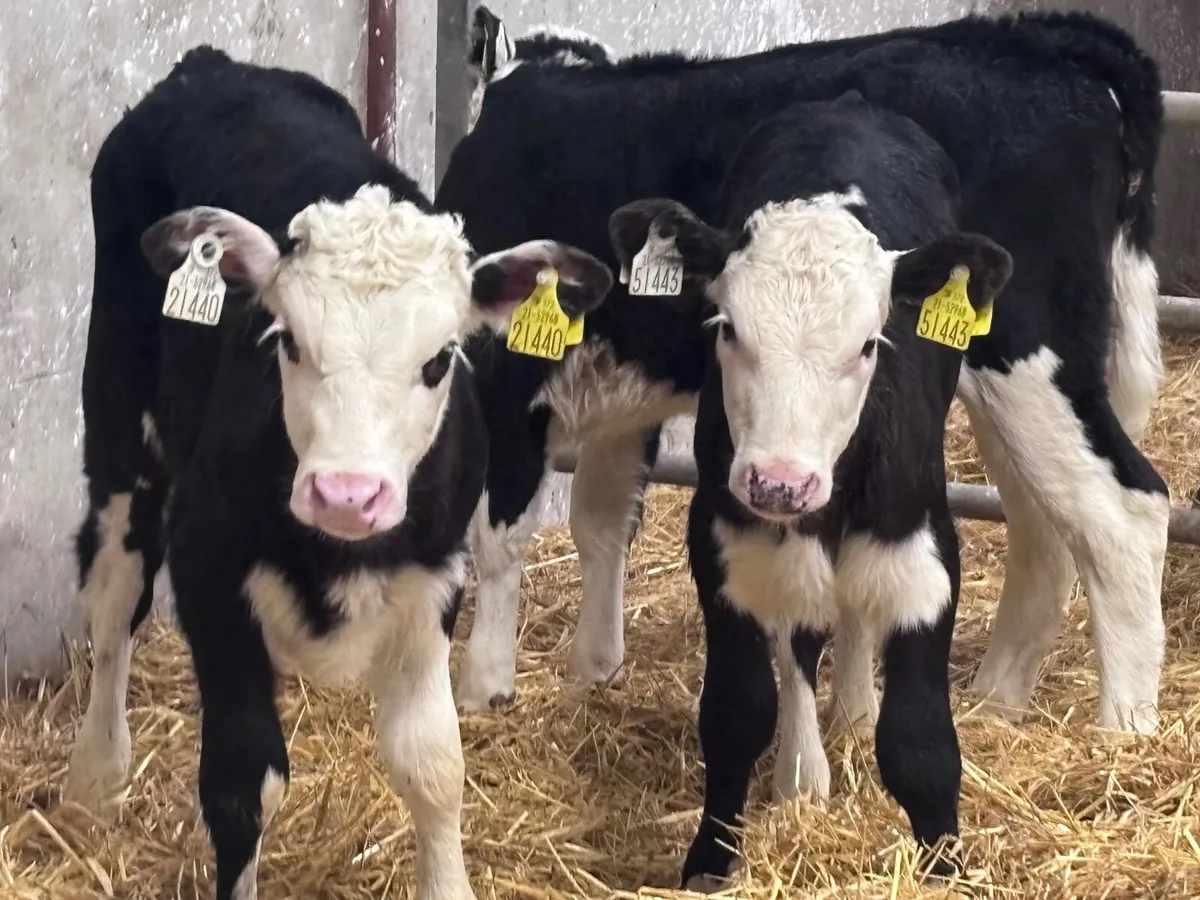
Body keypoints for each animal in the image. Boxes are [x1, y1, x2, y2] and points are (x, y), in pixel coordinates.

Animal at [64, 46, 612, 900]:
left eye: (439, 359)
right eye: (287, 340)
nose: (346, 494)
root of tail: (213, 68)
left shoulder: (434, 580)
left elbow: (432, 764)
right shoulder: (209, 570)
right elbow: (242, 780)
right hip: (121, 425)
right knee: (115, 593)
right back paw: (97, 774)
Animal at [440, 8, 1170, 737]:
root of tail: (1046, 40)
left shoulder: (505, 372)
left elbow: (499, 534)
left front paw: (482, 690)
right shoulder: (625, 390)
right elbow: (602, 521)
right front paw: (593, 670)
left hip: (1032, 355)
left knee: (1126, 510)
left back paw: (1122, 731)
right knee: (1043, 525)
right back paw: (997, 701)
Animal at [608, 94, 1013, 889]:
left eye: (868, 344)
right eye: (727, 328)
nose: (780, 481)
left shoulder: (925, 550)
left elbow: (920, 742)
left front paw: (945, 867)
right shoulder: (723, 543)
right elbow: (738, 711)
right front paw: (711, 860)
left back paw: (851, 715)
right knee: (802, 638)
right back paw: (805, 775)